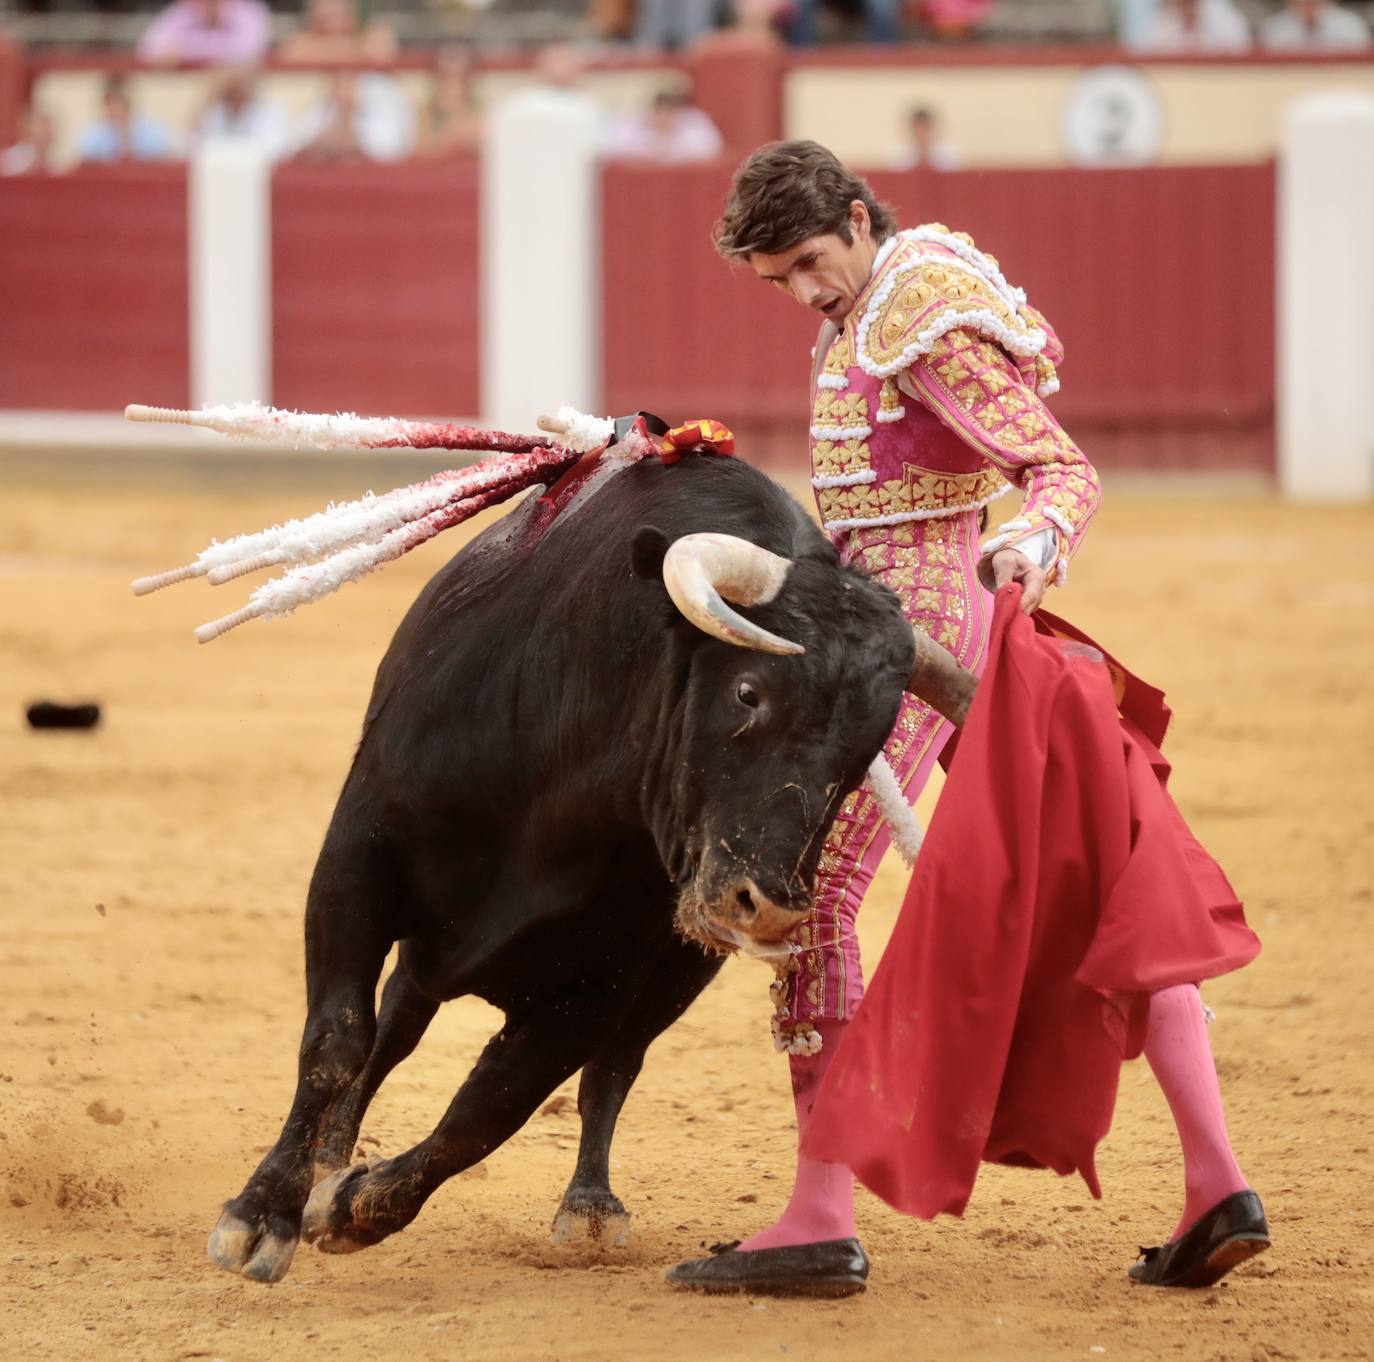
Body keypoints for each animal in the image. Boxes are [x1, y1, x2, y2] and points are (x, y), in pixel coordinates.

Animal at [203, 450, 934, 1286]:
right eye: (749, 691)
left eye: (869, 748)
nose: (774, 905)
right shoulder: (357, 858)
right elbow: (337, 1040)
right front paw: (261, 1215)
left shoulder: (602, 982)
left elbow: (490, 1110)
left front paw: (358, 1210)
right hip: (425, 943)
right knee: (394, 1026)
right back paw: (331, 1151)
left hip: (679, 969)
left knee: (612, 1069)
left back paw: (588, 1205)